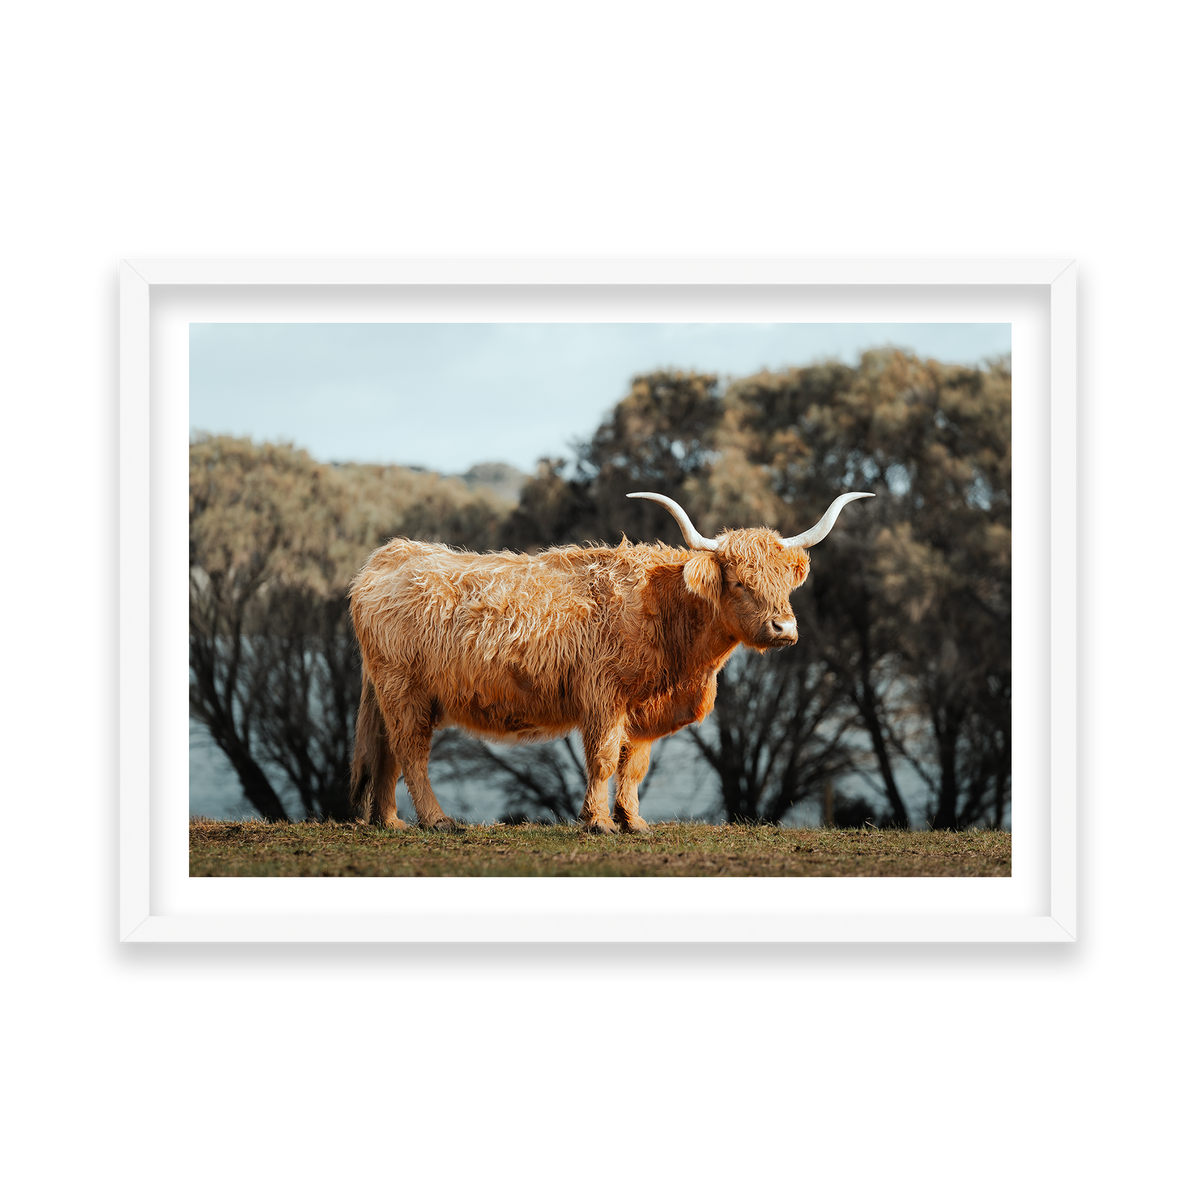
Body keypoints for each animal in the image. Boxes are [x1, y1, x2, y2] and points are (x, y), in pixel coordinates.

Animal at [347, 491, 872, 833]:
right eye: (741, 582)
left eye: (785, 582)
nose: (784, 628)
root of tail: (390, 554)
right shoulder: (604, 696)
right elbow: (602, 759)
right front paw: (598, 822)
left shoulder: (643, 708)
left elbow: (633, 765)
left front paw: (634, 821)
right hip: (405, 690)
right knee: (411, 752)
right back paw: (437, 821)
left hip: (392, 693)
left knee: (387, 752)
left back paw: (390, 822)